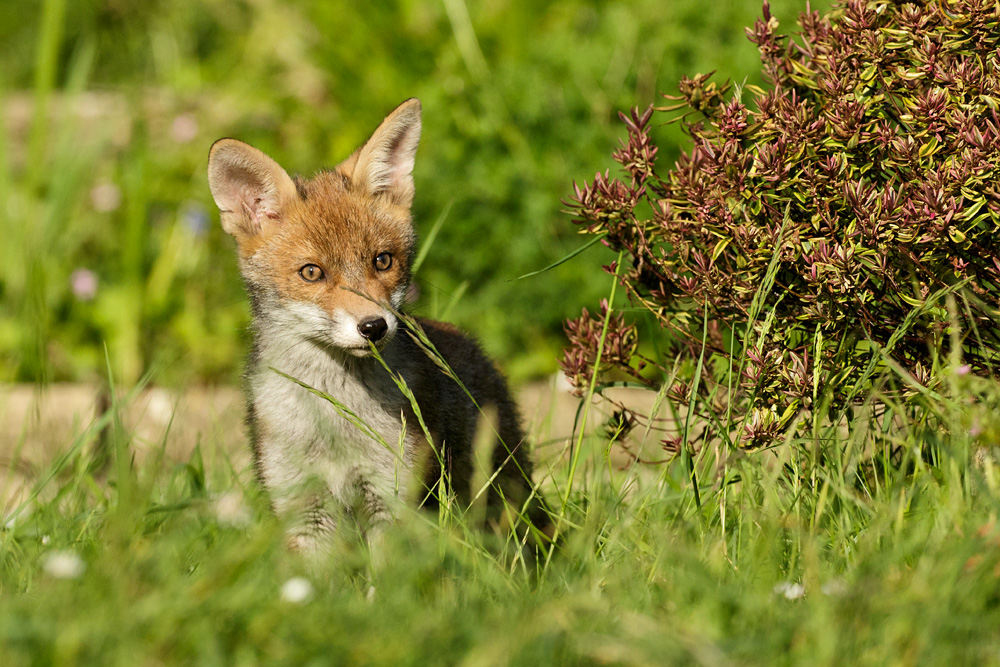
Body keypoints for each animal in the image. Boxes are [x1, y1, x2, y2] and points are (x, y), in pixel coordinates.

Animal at [207, 98, 550, 555]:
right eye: (311, 272)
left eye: (382, 261)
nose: (373, 326)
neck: (335, 420)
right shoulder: (304, 510)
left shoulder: (393, 498)